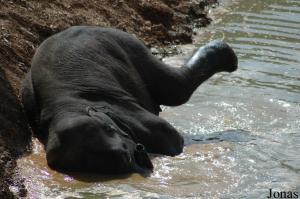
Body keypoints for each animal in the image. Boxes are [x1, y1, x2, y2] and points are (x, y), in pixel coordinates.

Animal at [21, 26, 238, 174]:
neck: (66, 107)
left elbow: (172, 138)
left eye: (109, 128)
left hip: (127, 44)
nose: (133, 153)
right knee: (175, 89)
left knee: (175, 88)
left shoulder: (119, 107)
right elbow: (172, 139)